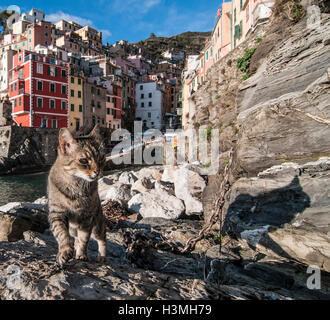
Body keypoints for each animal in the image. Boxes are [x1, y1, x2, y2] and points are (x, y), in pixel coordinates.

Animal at [47, 125, 106, 264]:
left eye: (101, 158)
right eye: (83, 160)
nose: (98, 171)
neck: (76, 184)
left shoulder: (87, 217)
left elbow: (84, 239)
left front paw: (81, 255)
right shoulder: (57, 213)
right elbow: (62, 234)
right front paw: (65, 251)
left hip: (97, 225)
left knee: (102, 237)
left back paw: (102, 256)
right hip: (74, 228)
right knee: (76, 238)